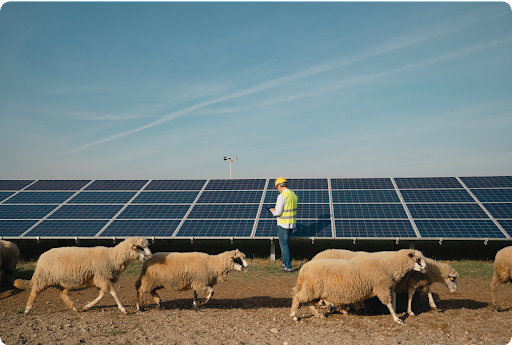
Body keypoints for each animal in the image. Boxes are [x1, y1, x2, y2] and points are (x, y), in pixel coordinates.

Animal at [13, 236, 151, 314]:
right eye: (139, 247)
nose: (149, 256)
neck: (113, 257)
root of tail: (41, 257)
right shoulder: (102, 277)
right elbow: (113, 293)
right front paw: (123, 309)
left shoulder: (99, 279)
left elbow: (101, 295)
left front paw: (86, 306)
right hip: (44, 277)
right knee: (34, 291)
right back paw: (27, 309)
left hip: (63, 281)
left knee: (62, 294)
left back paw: (74, 308)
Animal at [290, 247, 426, 322]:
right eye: (417, 259)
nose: (425, 268)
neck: (387, 266)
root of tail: (303, 269)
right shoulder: (381, 288)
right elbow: (388, 303)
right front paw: (397, 319)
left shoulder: (388, 287)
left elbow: (394, 299)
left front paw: (397, 313)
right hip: (313, 289)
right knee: (297, 298)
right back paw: (294, 315)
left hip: (315, 290)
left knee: (308, 302)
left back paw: (319, 314)